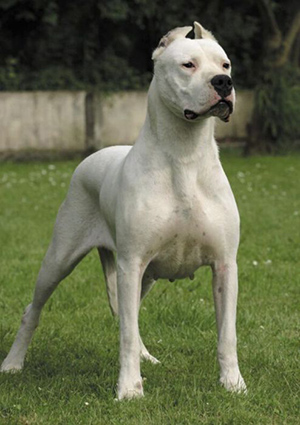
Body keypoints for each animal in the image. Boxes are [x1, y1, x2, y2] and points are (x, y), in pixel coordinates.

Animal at [1, 22, 246, 398]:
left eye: (225, 65)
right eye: (188, 64)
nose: (223, 83)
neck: (185, 155)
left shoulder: (224, 266)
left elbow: (227, 334)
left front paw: (233, 384)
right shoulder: (131, 263)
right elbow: (126, 334)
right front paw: (129, 390)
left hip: (144, 276)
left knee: (133, 314)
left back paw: (147, 357)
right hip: (60, 259)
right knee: (34, 309)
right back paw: (13, 363)